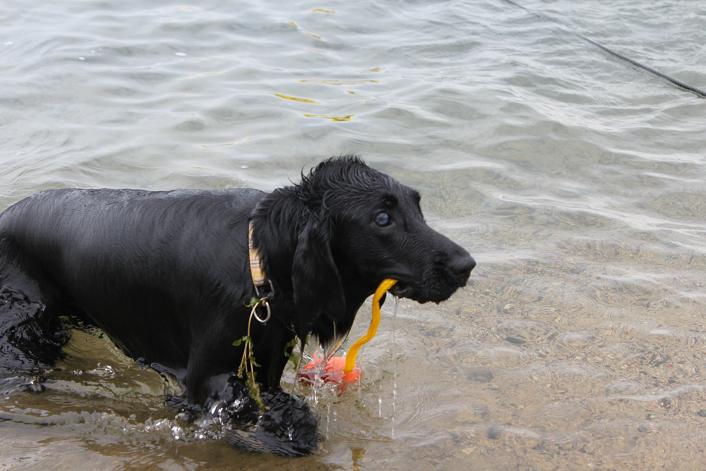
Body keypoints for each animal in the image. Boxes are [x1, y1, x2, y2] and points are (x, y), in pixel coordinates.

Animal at [1, 157, 472, 456]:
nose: (466, 265)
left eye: (418, 207)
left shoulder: (267, 358)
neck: (259, 263)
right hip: (26, 327)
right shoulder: (205, 377)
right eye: (382, 219)